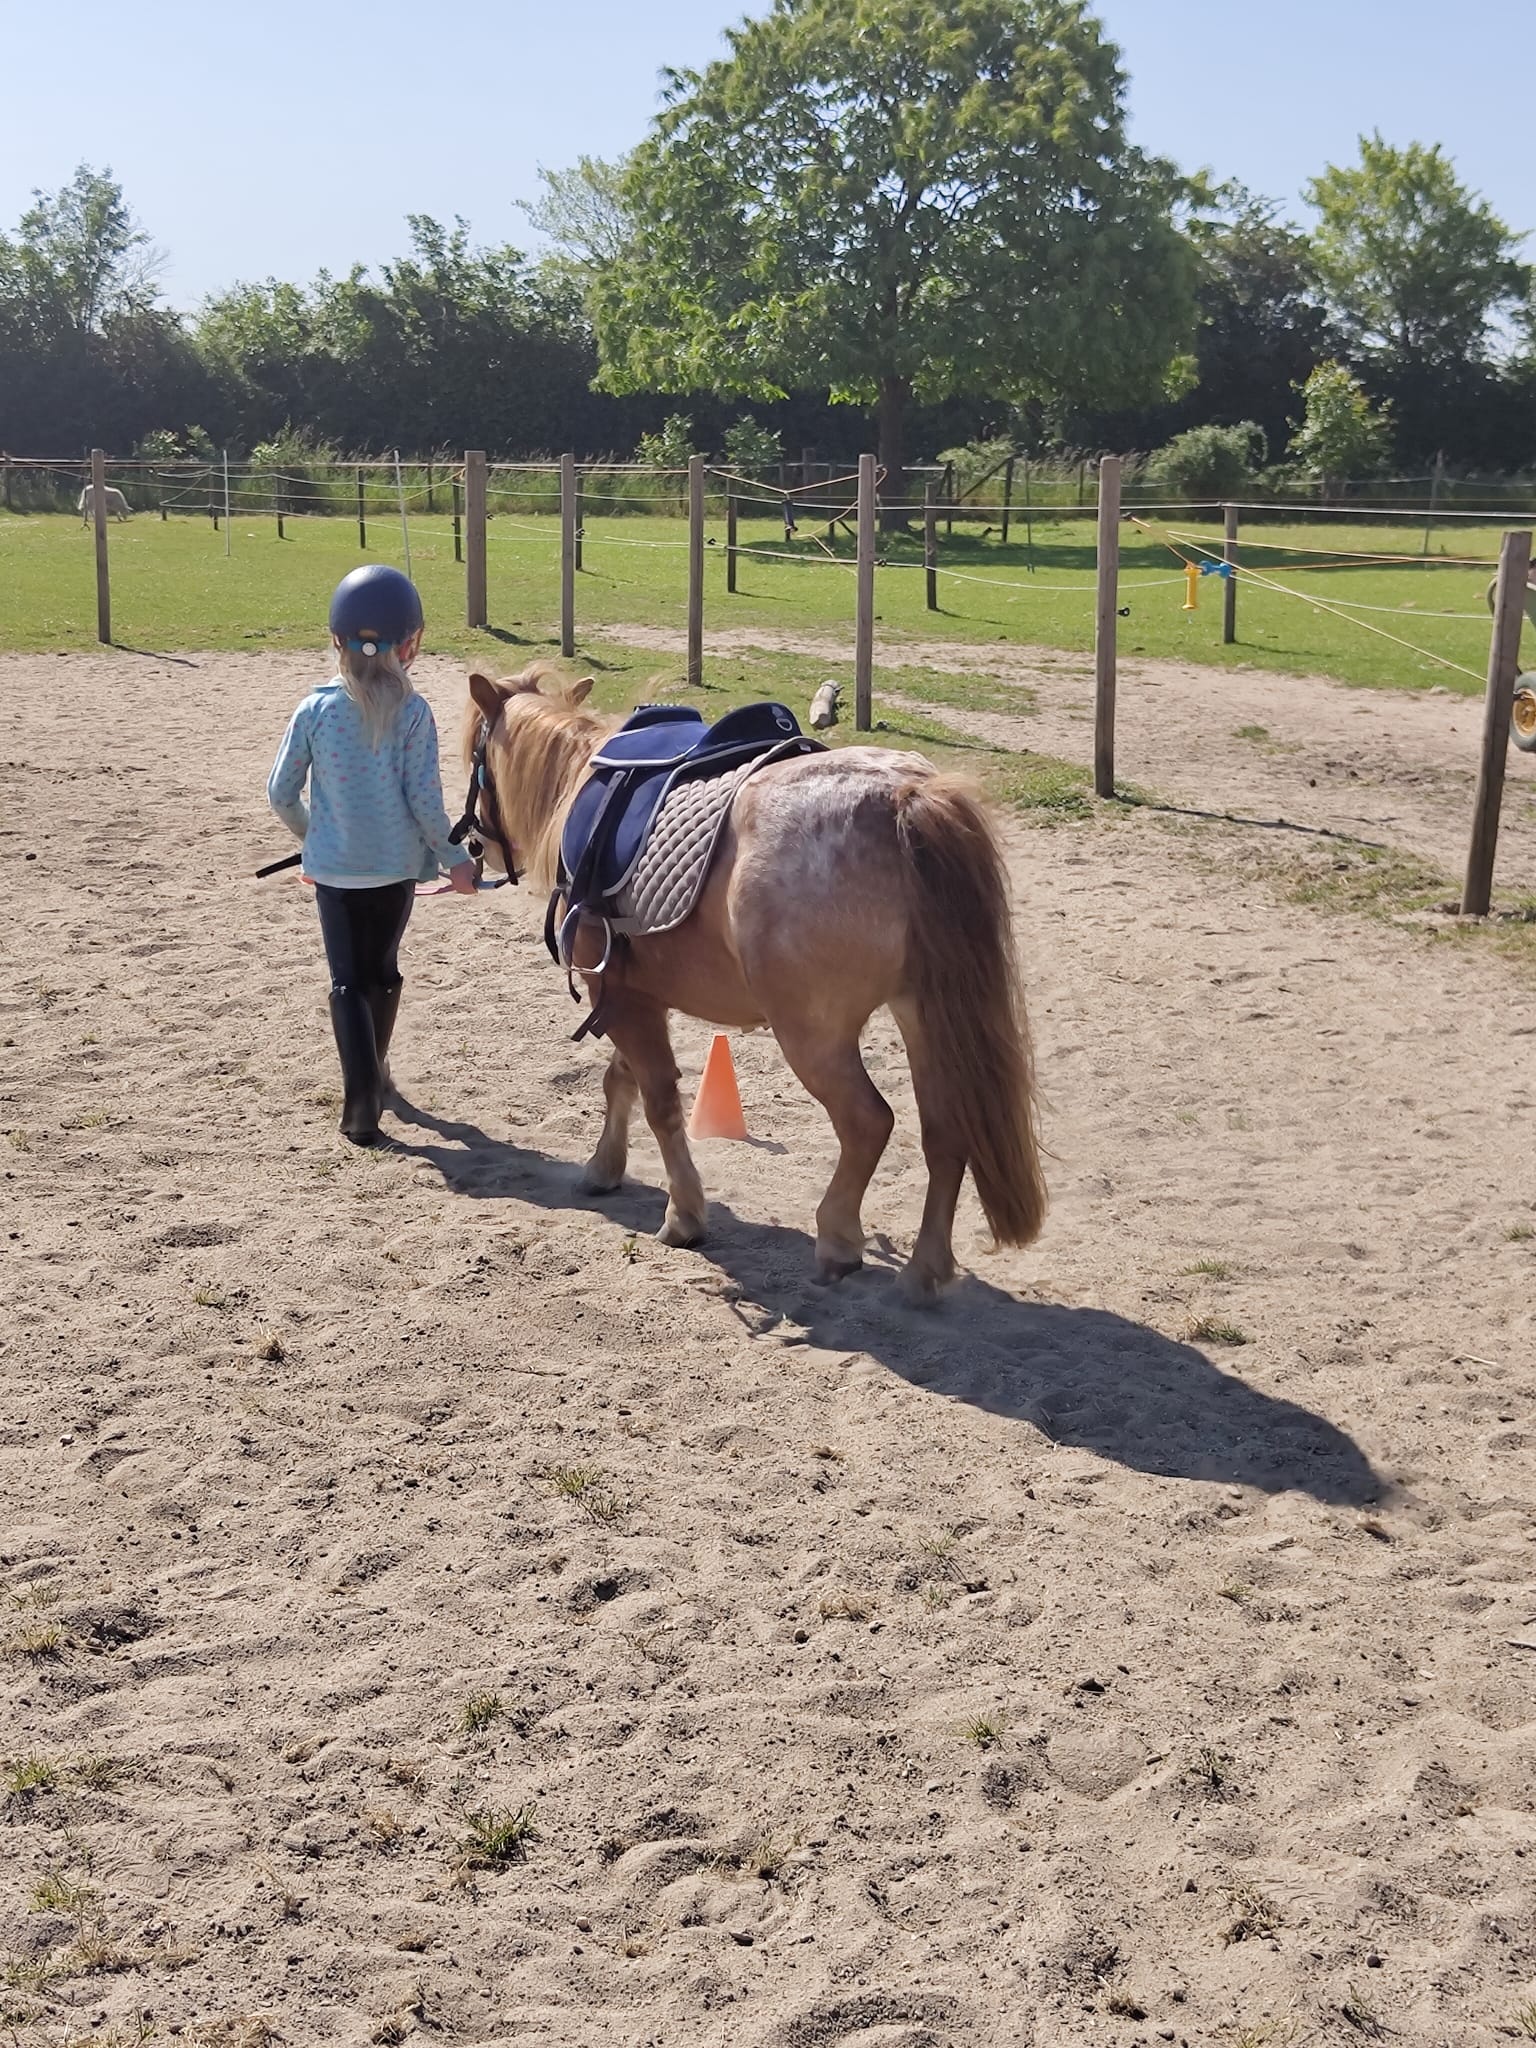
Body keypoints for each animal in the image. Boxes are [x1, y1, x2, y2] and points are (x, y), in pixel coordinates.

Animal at [466, 663, 1048, 1302]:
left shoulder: (617, 997)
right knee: (945, 1130)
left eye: (475, 752)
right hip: (922, 1016)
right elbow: (620, 1081)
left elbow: (660, 1102)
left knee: (868, 1123)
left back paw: (838, 1240)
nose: (473, 844)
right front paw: (604, 1168)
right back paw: (922, 1272)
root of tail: (904, 795)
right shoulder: (633, 994)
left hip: (814, 1037)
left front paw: (684, 1215)